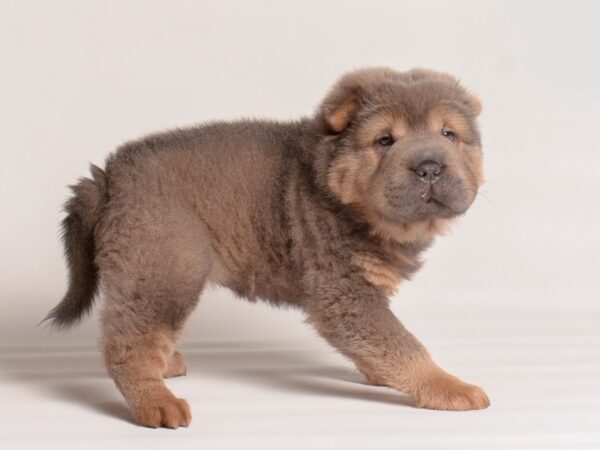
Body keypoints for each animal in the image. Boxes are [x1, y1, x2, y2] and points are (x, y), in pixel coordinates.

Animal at [45, 67, 488, 428]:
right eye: (384, 141)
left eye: (449, 134)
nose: (429, 167)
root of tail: (110, 175)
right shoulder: (345, 292)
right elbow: (405, 344)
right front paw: (451, 387)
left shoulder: (361, 295)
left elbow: (384, 340)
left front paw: (381, 373)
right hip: (165, 271)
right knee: (128, 345)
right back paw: (158, 404)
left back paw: (166, 366)